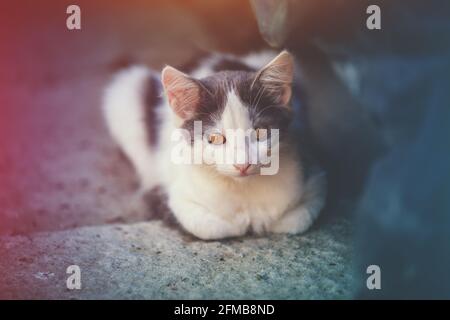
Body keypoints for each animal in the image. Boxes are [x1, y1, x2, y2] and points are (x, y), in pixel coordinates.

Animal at [103, 50, 326, 240]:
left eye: (260, 132)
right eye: (215, 139)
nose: (243, 164)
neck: (243, 188)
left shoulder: (314, 176)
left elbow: (297, 219)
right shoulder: (178, 195)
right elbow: (211, 227)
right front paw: (242, 223)